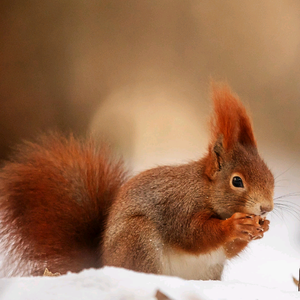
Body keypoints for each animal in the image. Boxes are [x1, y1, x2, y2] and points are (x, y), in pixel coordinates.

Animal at [0, 84, 274, 278]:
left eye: (270, 176)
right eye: (237, 181)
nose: (266, 208)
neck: (205, 190)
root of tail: (103, 264)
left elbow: (226, 249)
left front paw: (261, 228)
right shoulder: (179, 206)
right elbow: (193, 235)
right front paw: (235, 225)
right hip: (138, 238)